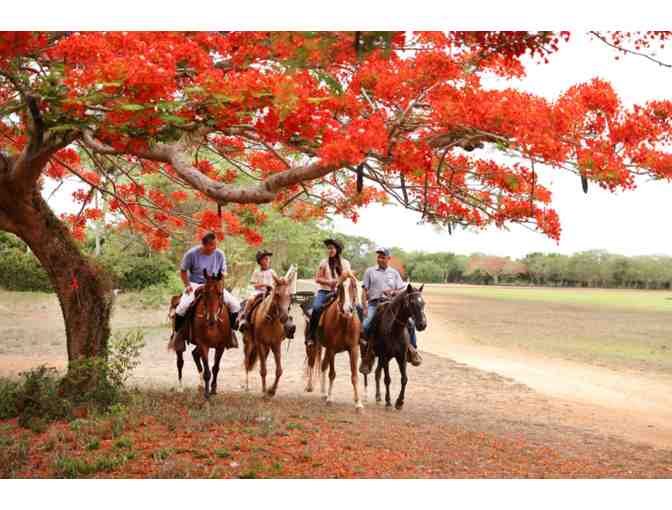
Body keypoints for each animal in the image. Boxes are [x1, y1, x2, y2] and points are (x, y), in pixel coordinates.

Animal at [242, 266, 294, 398]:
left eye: (290, 295)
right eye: (277, 294)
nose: (284, 317)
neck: (270, 321)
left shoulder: (276, 344)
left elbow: (279, 370)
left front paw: (271, 390)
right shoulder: (260, 343)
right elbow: (263, 370)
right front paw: (265, 392)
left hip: (267, 347)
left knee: (262, 360)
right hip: (249, 343)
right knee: (247, 363)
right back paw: (247, 386)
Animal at [306, 270, 364, 410]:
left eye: (354, 285)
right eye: (339, 287)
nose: (347, 310)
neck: (344, 322)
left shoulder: (353, 349)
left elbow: (354, 376)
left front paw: (358, 403)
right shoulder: (332, 349)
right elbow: (332, 374)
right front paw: (330, 399)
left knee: (322, 365)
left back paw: (323, 393)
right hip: (313, 346)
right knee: (312, 363)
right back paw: (311, 387)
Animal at [362, 282, 426, 410]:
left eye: (423, 303)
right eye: (412, 302)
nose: (422, 324)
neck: (394, 329)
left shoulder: (401, 356)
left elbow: (404, 379)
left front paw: (399, 402)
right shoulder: (385, 356)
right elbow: (387, 379)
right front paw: (388, 401)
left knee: (377, 373)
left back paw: (378, 396)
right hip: (370, 354)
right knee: (366, 373)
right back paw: (366, 395)